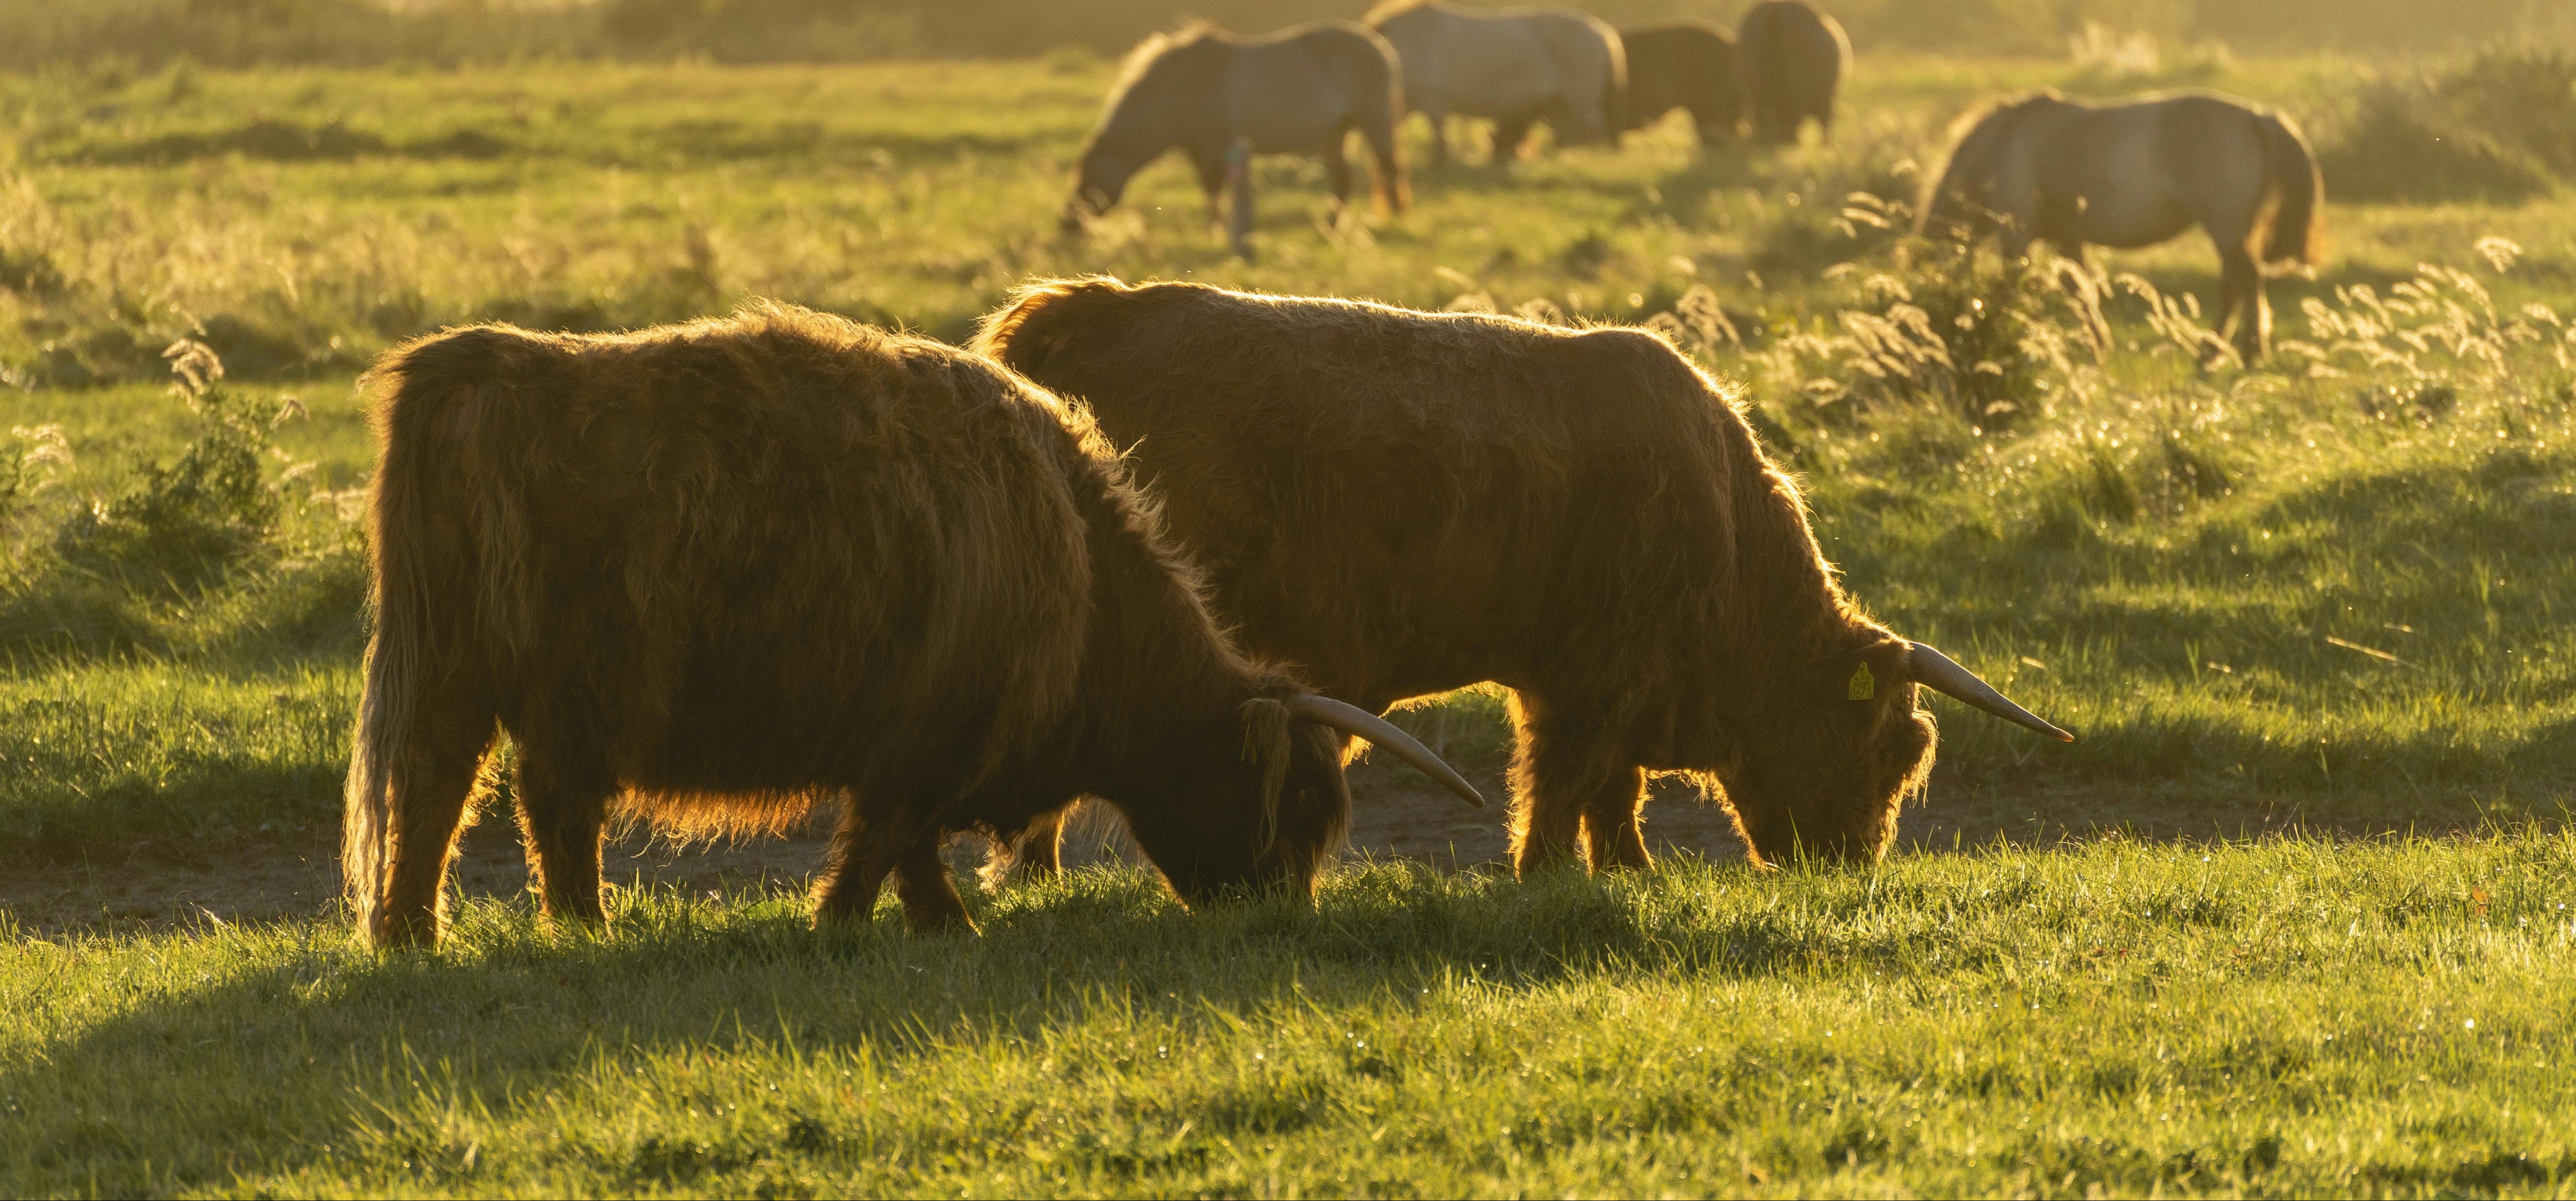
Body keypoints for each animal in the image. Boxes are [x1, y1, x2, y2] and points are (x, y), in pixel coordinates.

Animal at [342, 303, 1480, 950]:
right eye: (1293, 807)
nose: (1282, 914)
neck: (1077, 568)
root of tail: (485, 365)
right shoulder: (926, 738)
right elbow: (887, 839)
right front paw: (887, 925)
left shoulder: (916, 746)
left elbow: (901, 846)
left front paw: (922, 924)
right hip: (575, 683)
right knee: (550, 804)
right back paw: (581, 929)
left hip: (454, 670)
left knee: (439, 788)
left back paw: (411, 936)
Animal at [973, 279, 2069, 875]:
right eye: (1889, 749)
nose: (1846, 865)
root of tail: (1095, 312)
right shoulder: (1590, 681)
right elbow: (1565, 783)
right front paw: (1546, 873)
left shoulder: (1589, 684)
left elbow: (1611, 793)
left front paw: (1629, 869)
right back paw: (1032, 871)